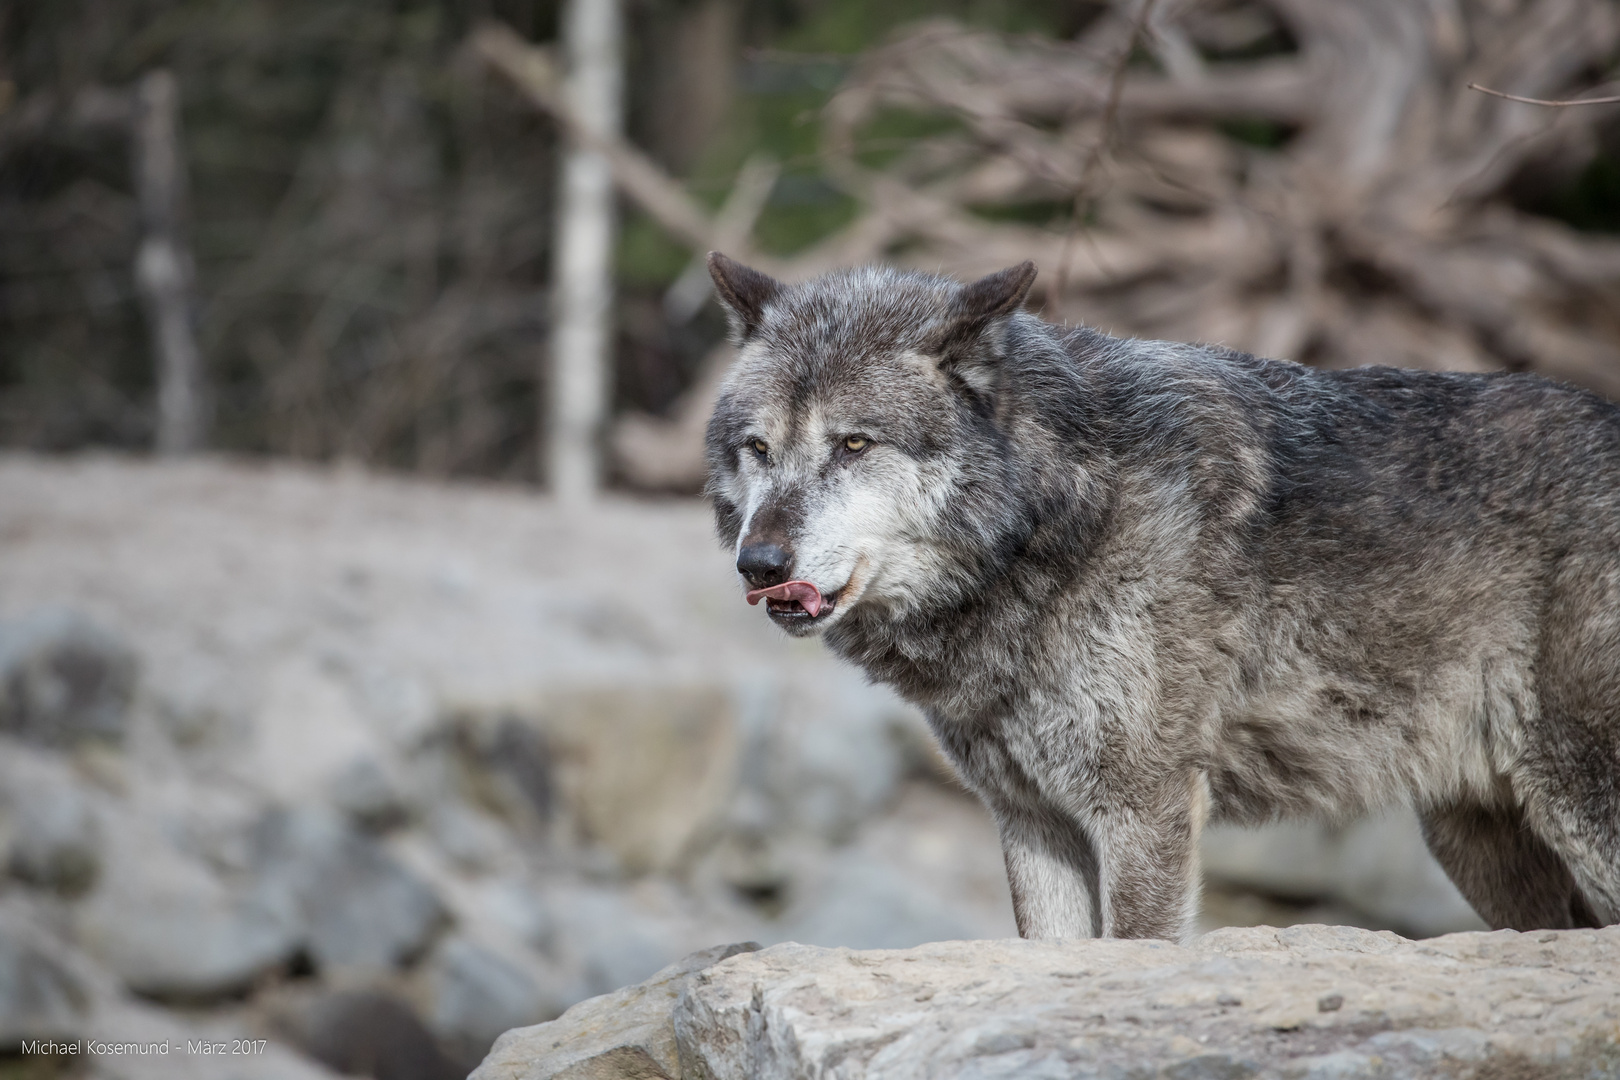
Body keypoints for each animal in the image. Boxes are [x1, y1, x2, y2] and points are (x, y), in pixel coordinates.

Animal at [699, 249, 1620, 939]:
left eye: (855, 444)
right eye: (757, 448)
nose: (759, 562)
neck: (1056, 529)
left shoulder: (1144, 808)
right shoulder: (1032, 822)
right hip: (1476, 843)